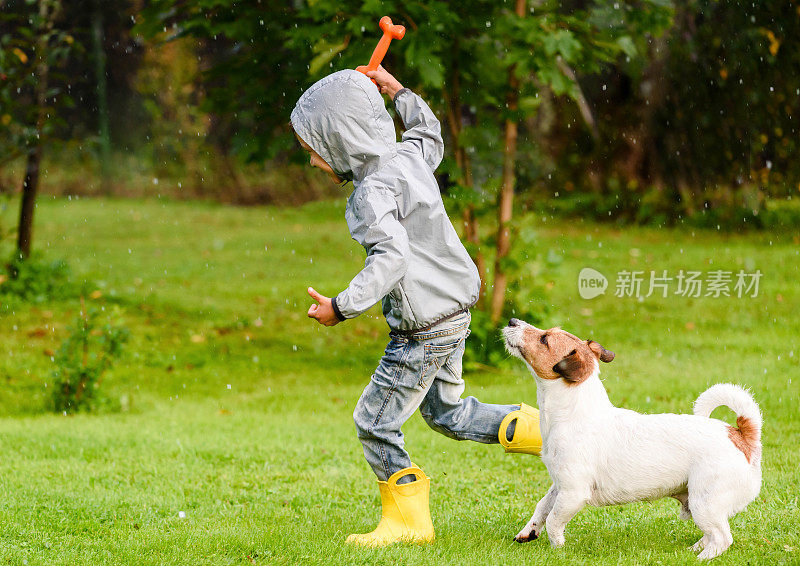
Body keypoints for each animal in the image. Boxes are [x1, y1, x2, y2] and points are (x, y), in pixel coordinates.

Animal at [504, 320, 760, 564]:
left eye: (544, 339)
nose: (512, 320)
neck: (573, 413)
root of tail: (741, 435)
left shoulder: (573, 493)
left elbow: (554, 520)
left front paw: (557, 548)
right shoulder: (559, 486)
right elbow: (542, 507)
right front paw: (528, 531)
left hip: (705, 502)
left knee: (722, 538)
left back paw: (700, 558)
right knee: (711, 535)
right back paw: (693, 550)